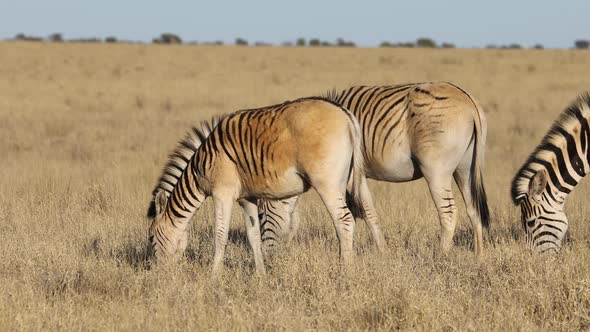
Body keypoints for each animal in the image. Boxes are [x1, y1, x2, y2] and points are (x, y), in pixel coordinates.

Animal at [147, 96, 374, 274]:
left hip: (326, 181)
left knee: (344, 221)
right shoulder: (247, 198)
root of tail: (346, 114)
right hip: (347, 179)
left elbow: (220, 235)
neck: (198, 169)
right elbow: (254, 236)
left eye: (151, 237)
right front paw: (260, 275)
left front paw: (214, 277)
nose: (155, 272)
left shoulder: (222, 193)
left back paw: (345, 272)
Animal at [262, 81, 492, 255]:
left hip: (436, 169)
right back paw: (479, 257)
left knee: (449, 213)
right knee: (473, 209)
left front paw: (366, 251)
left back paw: (440, 256)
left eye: (262, 215)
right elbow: (363, 213)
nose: (270, 254)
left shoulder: (353, 175)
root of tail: (469, 101)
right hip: (464, 168)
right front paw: (376, 252)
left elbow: (363, 212)